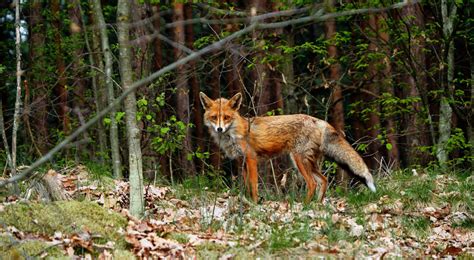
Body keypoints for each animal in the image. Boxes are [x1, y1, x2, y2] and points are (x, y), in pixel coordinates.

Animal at [198, 92, 376, 203]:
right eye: (214, 117)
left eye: (226, 117)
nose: (219, 129)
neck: (234, 133)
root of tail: (317, 120)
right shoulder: (242, 163)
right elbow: (248, 187)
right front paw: (248, 202)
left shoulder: (251, 159)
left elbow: (254, 187)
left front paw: (254, 205)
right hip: (309, 163)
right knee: (324, 180)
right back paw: (317, 205)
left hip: (298, 160)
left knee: (312, 184)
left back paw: (304, 206)